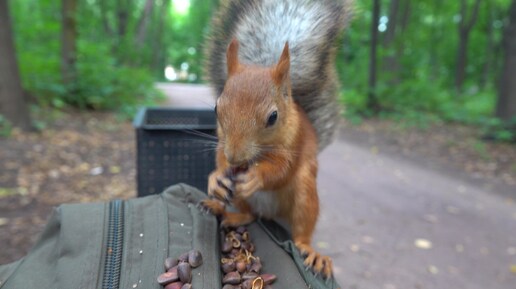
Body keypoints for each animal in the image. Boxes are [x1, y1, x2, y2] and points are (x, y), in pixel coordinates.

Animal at [200, 0, 352, 280]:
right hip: (243, 200)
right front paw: (216, 179)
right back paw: (224, 210)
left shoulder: (295, 145)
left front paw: (257, 176)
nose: (235, 157)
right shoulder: (222, 144)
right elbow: (219, 160)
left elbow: (282, 170)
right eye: (216, 108)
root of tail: (270, 214)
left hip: (304, 194)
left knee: (301, 231)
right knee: (249, 214)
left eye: (273, 117)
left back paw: (310, 251)